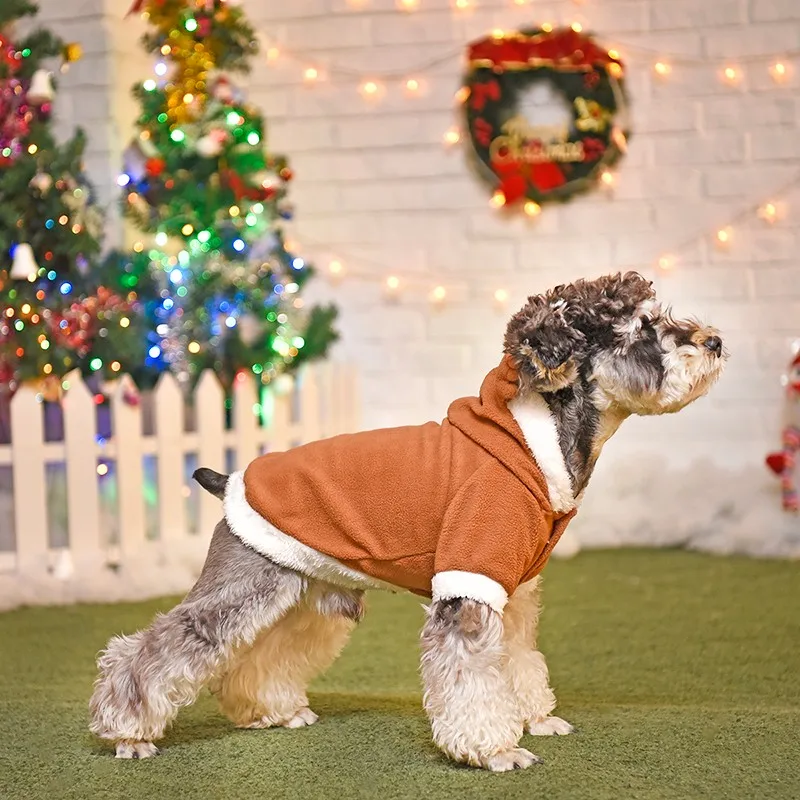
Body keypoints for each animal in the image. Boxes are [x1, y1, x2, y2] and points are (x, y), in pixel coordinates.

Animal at [87, 274, 724, 768]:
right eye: (642, 327)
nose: (714, 341)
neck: (536, 445)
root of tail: (229, 481)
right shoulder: (470, 587)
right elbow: (472, 679)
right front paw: (496, 750)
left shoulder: (514, 592)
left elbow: (519, 661)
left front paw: (536, 719)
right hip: (244, 587)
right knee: (156, 648)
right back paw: (126, 732)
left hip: (304, 593)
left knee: (260, 655)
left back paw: (271, 712)